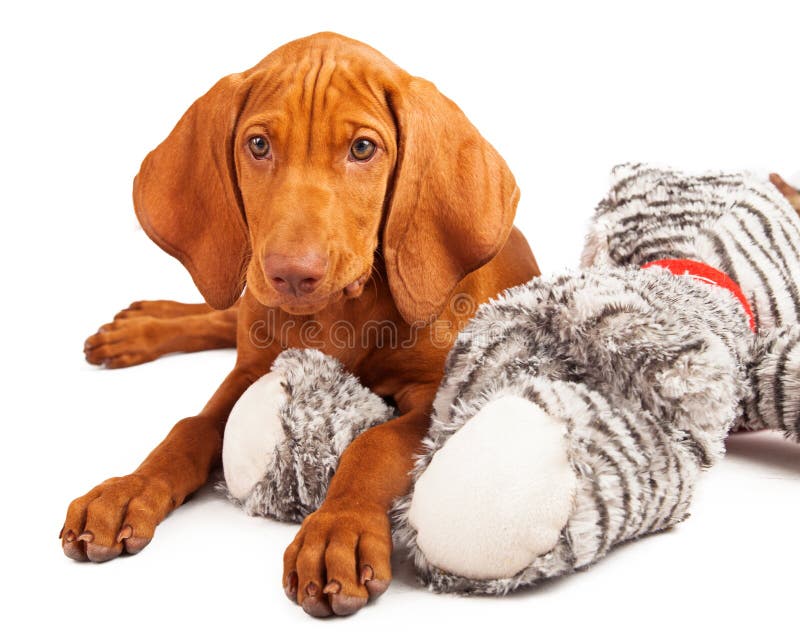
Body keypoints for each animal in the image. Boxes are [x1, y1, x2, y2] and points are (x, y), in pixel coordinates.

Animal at [61, 32, 536, 616]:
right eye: (259, 145)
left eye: (363, 149)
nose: (291, 275)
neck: (338, 315)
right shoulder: (249, 372)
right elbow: (189, 428)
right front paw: (129, 488)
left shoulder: (438, 396)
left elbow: (374, 444)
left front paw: (338, 530)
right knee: (225, 313)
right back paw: (140, 327)